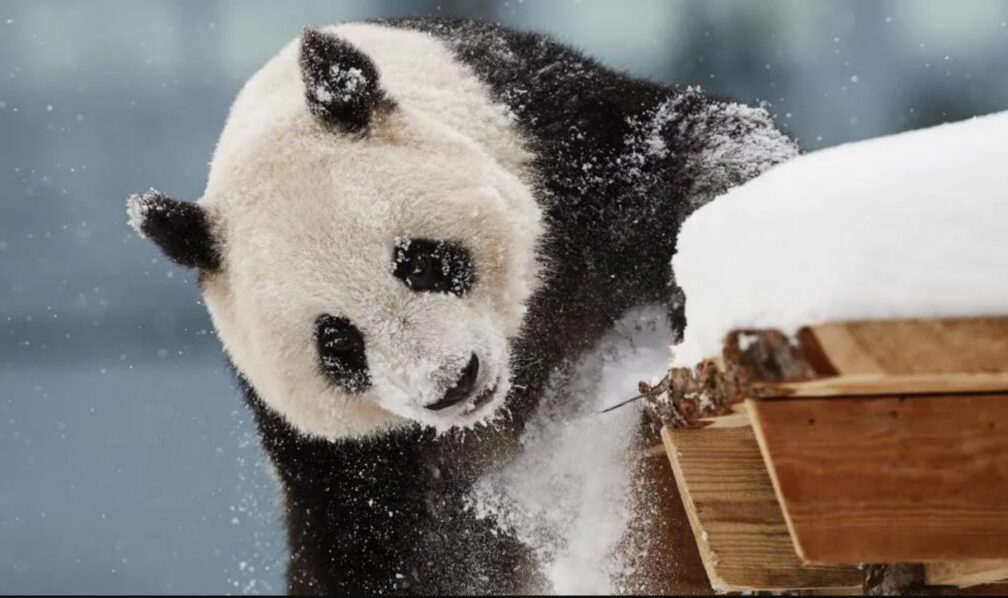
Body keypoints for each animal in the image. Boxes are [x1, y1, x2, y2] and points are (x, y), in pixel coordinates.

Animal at [127, 17, 796, 595]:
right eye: (337, 343)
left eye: (419, 262)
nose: (451, 384)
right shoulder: (341, 459)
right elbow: (376, 556)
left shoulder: (565, 150)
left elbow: (697, 151)